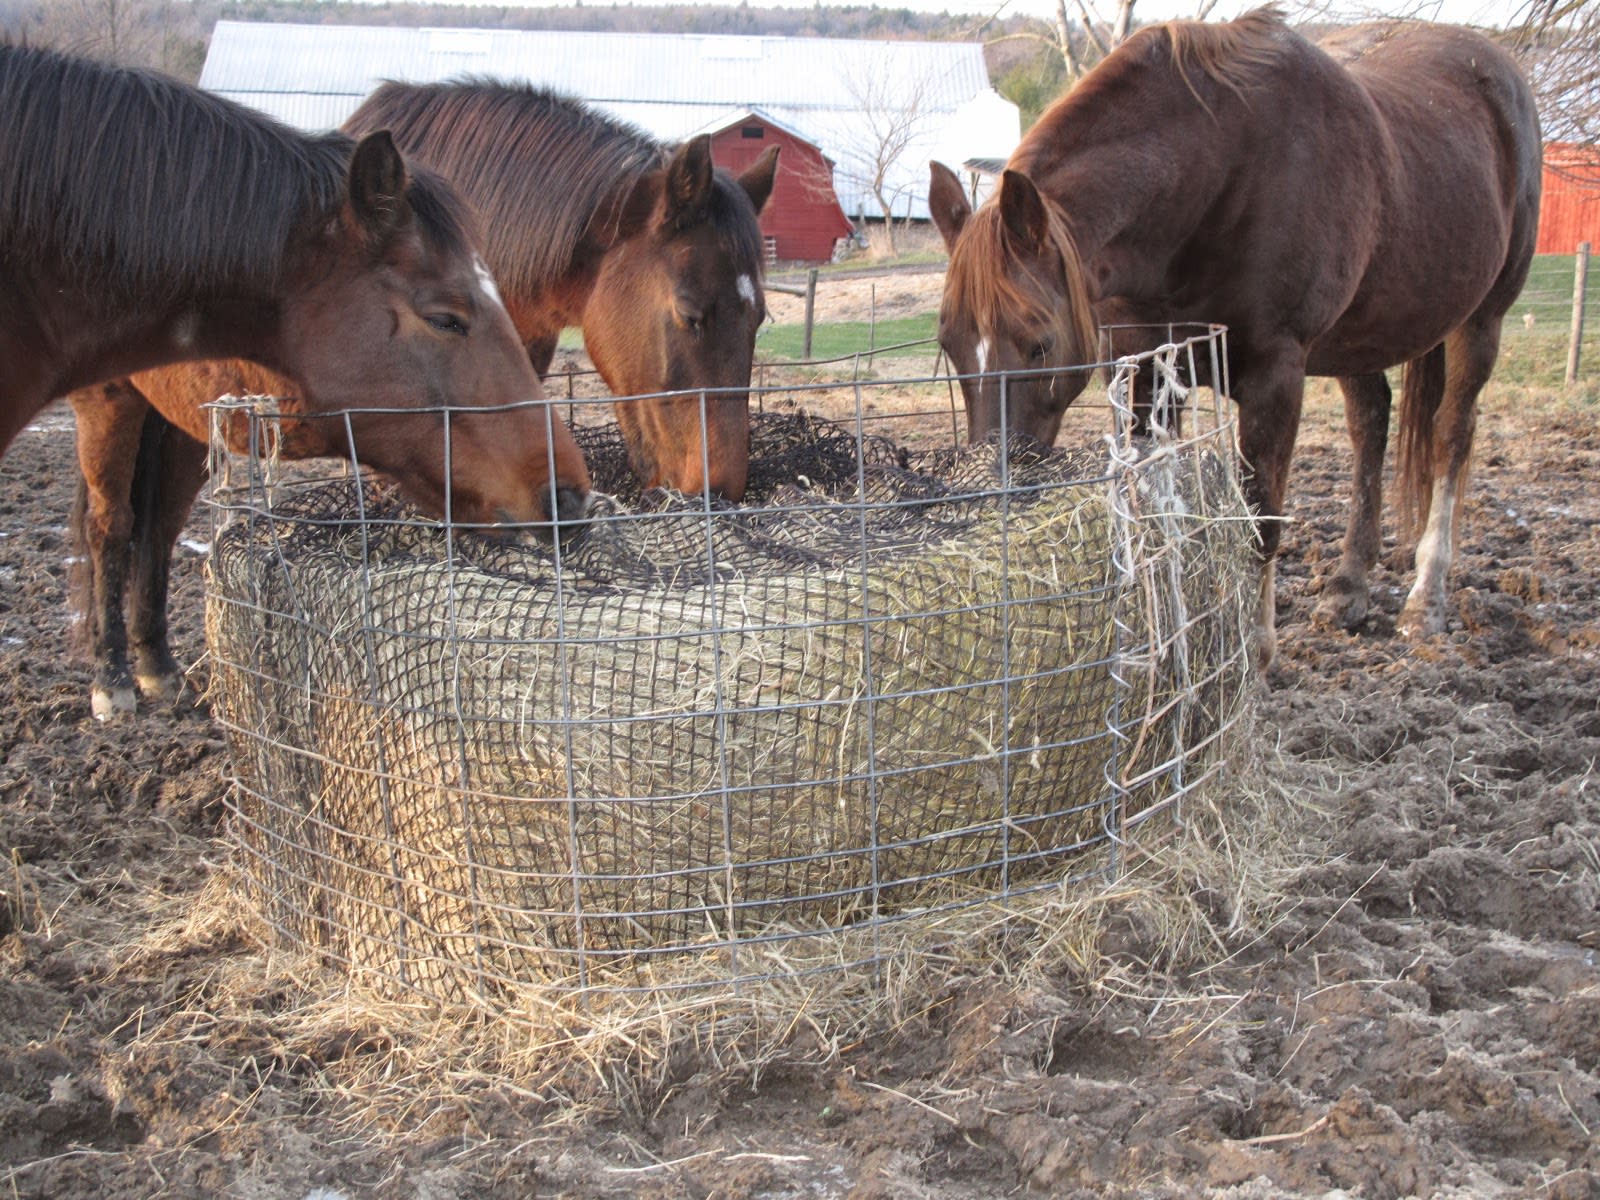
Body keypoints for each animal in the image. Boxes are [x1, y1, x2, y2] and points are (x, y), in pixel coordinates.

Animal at [65, 84, 777, 723]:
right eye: (690, 312)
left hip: (183, 424)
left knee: (159, 525)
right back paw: (113, 680)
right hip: (109, 402)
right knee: (112, 525)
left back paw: (156, 666)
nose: (719, 491)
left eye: (761, 318)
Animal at [934, 7, 1542, 668]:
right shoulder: (1145, 371)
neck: (1214, 176)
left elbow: (1260, 519)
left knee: (1452, 438)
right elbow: (1157, 514)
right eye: (949, 346)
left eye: (1039, 343)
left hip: (1481, 322)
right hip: (1361, 338)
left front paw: (1256, 649)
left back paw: (1425, 599)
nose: (993, 490)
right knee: (1370, 426)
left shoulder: (1275, 375)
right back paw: (1348, 587)